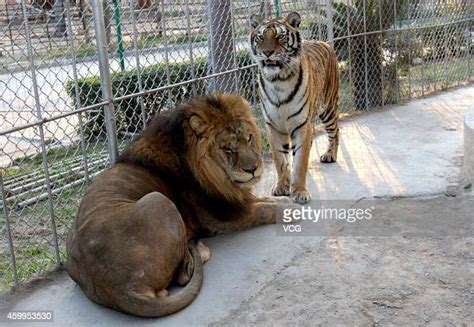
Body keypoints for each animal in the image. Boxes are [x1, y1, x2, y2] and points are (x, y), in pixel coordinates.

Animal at [65, 93, 288, 318]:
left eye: (249, 138)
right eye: (227, 149)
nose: (253, 169)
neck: (216, 176)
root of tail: (119, 290)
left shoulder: (234, 200)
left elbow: (267, 201)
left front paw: (285, 198)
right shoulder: (222, 216)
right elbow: (266, 209)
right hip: (159, 200)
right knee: (183, 275)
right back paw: (198, 249)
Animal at [248, 11, 340, 205]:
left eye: (280, 36)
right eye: (261, 37)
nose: (267, 52)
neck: (278, 81)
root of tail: (323, 42)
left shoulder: (301, 124)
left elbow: (300, 162)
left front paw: (299, 192)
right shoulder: (273, 126)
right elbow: (280, 160)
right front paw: (282, 186)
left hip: (328, 108)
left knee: (335, 131)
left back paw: (330, 154)